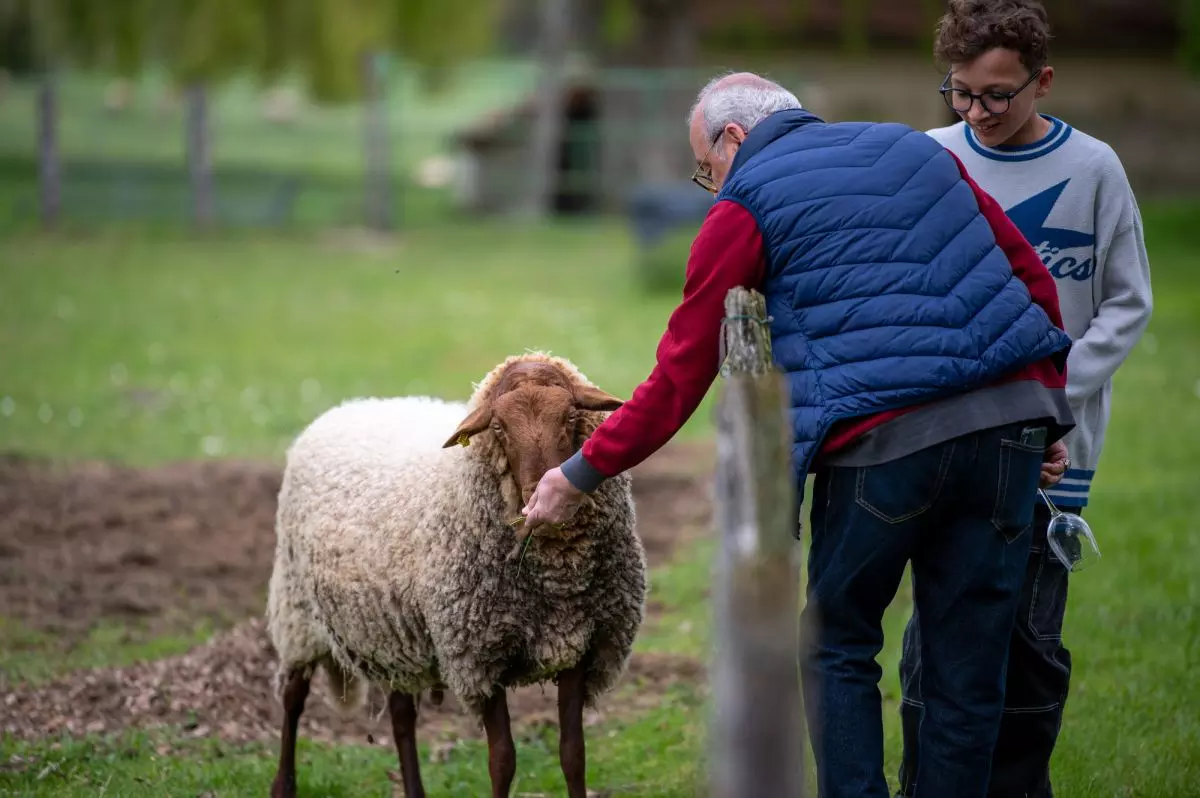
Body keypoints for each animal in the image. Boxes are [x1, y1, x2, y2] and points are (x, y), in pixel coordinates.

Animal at [268, 355, 652, 796]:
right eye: (499, 427)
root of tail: (348, 407)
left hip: (392, 629)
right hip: (296, 611)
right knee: (293, 697)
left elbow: (573, 754)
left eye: (571, 414)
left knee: (401, 715)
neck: (557, 581)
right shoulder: (480, 655)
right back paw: (283, 784)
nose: (539, 496)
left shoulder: (579, 644)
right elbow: (502, 760)